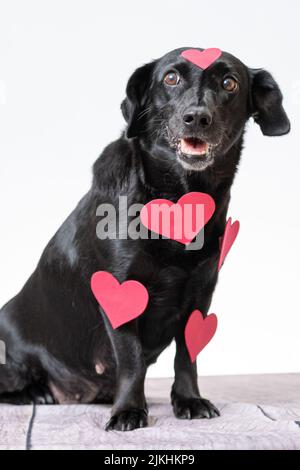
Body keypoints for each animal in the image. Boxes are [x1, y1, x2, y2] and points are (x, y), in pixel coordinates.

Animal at [0, 47, 290, 430]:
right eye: (171, 77)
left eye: (230, 83)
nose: (197, 117)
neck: (177, 200)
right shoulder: (120, 291)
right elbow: (132, 358)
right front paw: (128, 410)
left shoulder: (201, 294)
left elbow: (187, 356)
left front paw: (189, 400)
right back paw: (37, 393)